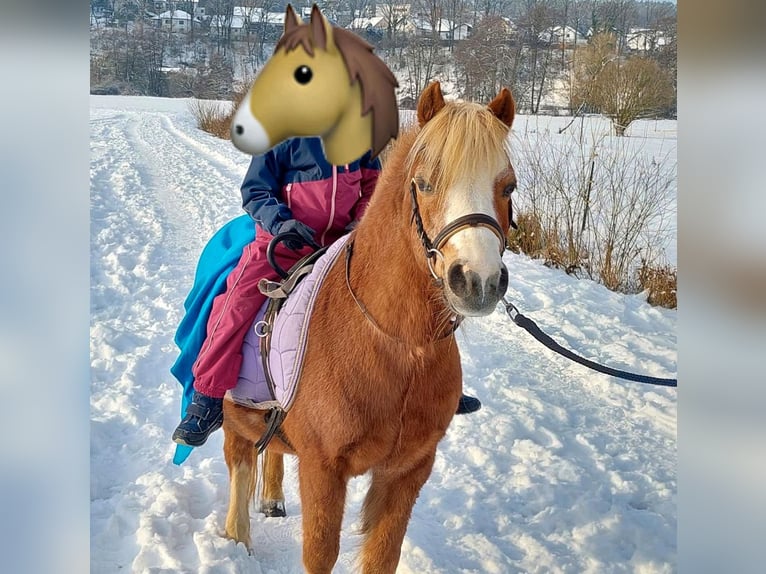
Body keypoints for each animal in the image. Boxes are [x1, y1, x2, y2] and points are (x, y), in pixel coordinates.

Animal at [224, 82, 520, 574]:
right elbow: (320, 552)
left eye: (507, 186)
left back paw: (271, 498)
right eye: (424, 183)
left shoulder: (407, 472)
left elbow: (383, 554)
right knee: (239, 461)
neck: (396, 342)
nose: (477, 281)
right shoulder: (324, 470)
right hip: (232, 407)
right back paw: (235, 537)